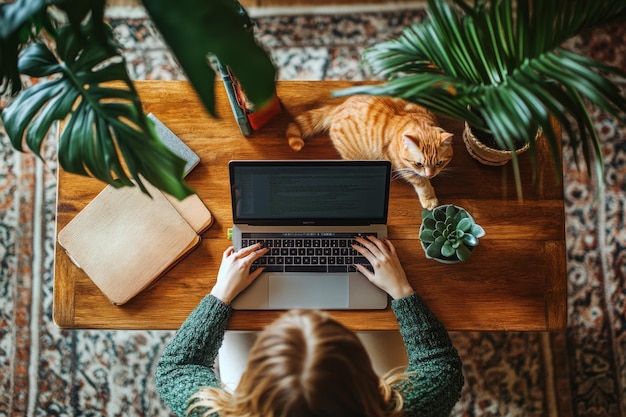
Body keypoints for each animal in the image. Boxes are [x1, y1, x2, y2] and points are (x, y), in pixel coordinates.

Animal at [286, 96, 450, 210]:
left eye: (439, 163)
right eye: (418, 164)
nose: (431, 175)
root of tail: (338, 108)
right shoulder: (400, 164)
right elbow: (420, 181)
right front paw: (429, 197)